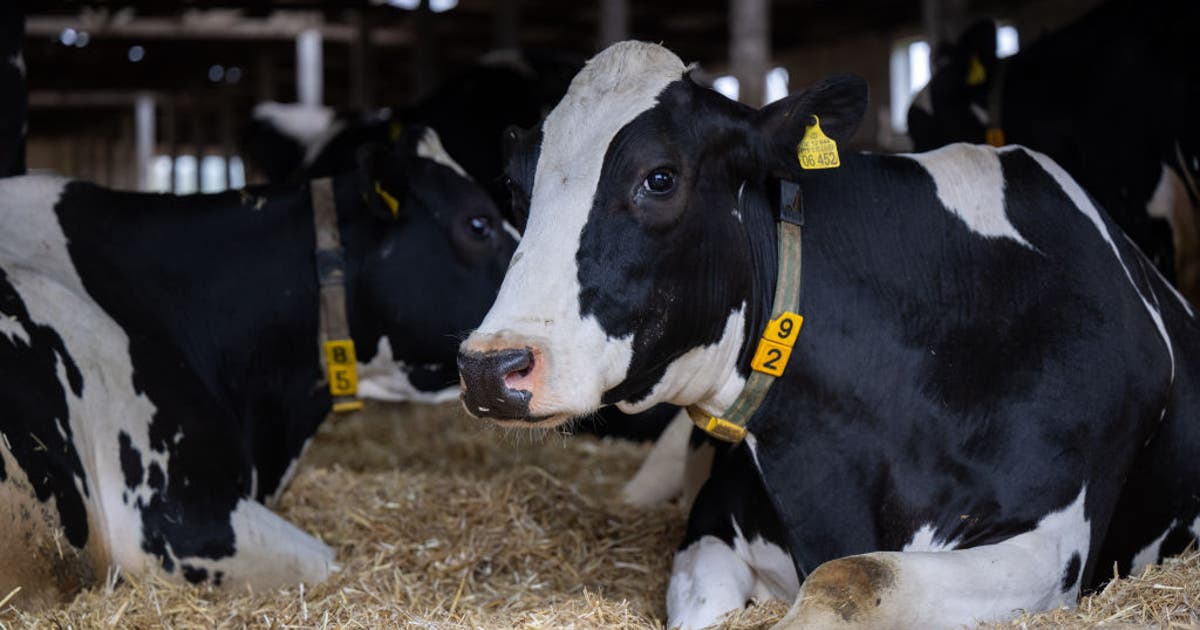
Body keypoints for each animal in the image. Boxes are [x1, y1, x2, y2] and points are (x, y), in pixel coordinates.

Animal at [457, 41, 1200, 629]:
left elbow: (851, 575)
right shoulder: (709, 532)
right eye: (515, 189)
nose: (491, 366)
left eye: (659, 178)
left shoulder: (1047, 548)